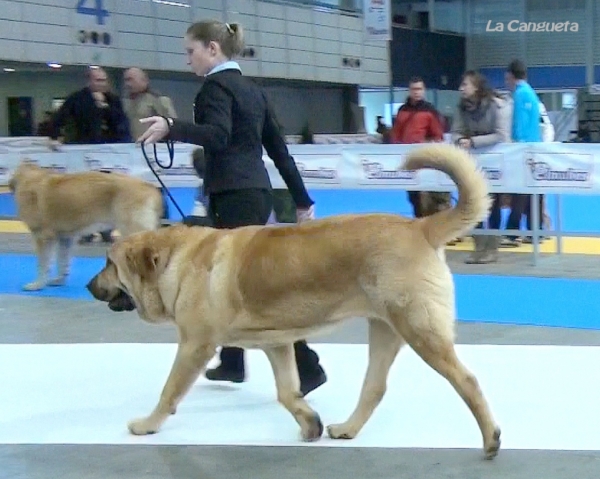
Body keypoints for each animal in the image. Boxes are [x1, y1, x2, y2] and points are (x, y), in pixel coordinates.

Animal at [9, 160, 164, 292]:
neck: (29, 177)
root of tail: (150, 187)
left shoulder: (42, 237)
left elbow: (43, 264)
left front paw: (37, 284)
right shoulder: (64, 239)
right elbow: (62, 261)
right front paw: (59, 280)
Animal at [85, 143, 502, 462]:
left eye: (109, 263)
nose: (89, 285)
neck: (177, 260)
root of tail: (420, 226)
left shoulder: (194, 346)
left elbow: (169, 390)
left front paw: (146, 424)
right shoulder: (277, 344)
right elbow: (288, 391)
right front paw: (308, 422)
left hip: (420, 329)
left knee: (467, 380)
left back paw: (490, 440)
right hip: (384, 329)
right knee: (374, 388)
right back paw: (347, 428)